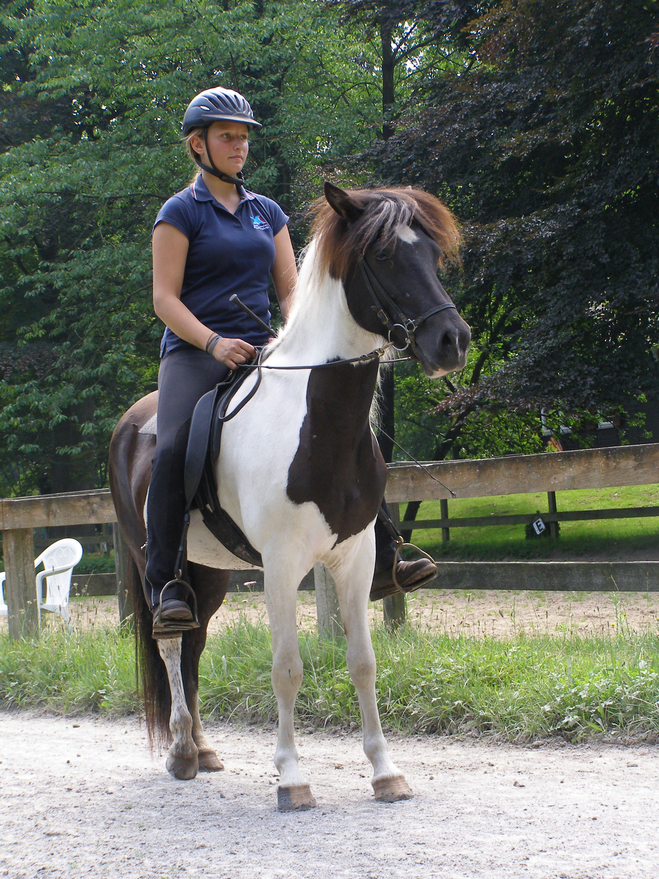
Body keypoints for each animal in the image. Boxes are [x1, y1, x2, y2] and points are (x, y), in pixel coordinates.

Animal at [109, 184, 470, 812]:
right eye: (383, 256)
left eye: (431, 253)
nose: (452, 341)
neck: (319, 422)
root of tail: (130, 424)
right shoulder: (279, 565)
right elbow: (287, 668)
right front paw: (292, 779)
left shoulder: (356, 559)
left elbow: (363, 662)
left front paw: (386, 772)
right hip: (154, 561)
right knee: (171, 639)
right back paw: (180, 751)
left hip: (209, 572)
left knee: (195, 641)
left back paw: (203, 748)